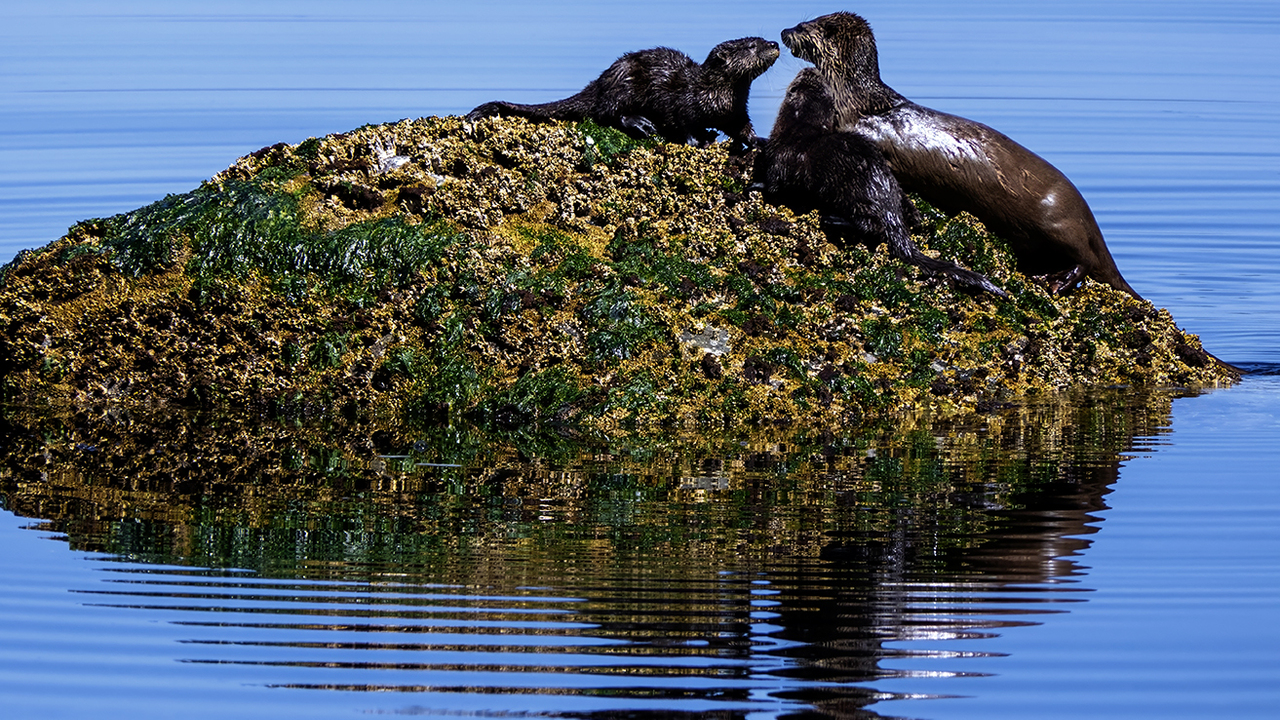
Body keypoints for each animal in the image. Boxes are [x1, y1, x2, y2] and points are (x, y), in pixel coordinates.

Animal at [467, 37, 780, 148]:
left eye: (763, 37)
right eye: (752, 45)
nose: (775, 43)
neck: (716, 96)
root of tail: (600, 81)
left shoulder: (736, 112)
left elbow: (743, 129)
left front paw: (760, 141)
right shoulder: (681, 100)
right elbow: (681, 122)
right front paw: (698, 140)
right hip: (624, 85)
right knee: (606, 112)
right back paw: (640, 123)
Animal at [757, 68, 1007, 298]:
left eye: (800, 79)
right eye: (818, 80)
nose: (810, 69)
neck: (801, 131)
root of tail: (889, 206)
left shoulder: (779, 159)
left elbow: (774, 188)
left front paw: (757, 185)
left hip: (851, 194)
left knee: (872, 226)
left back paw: (834, 219)